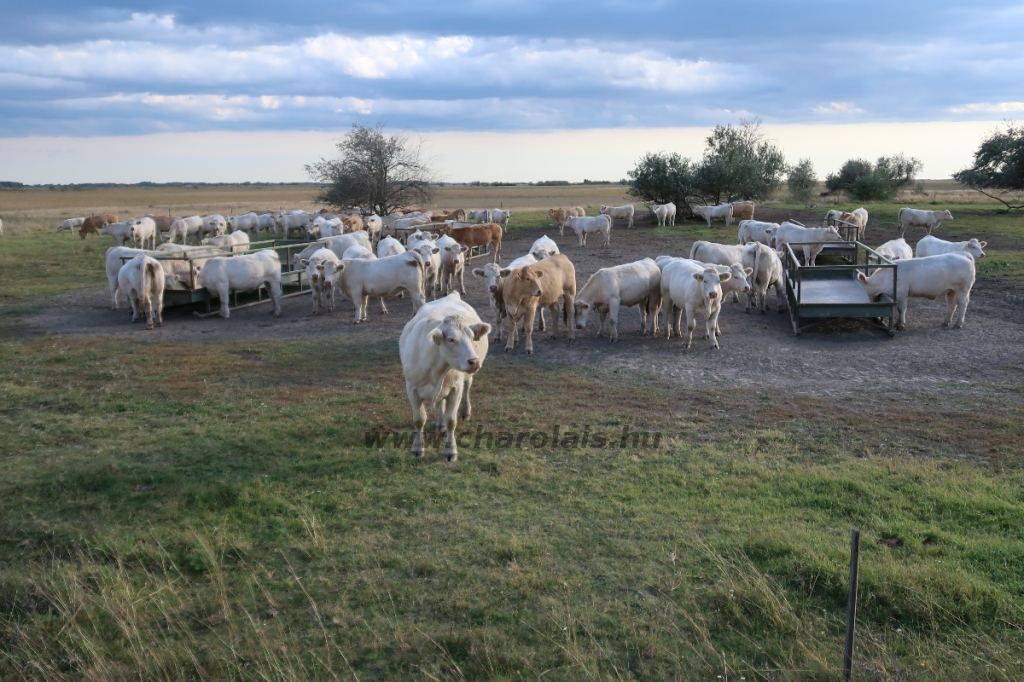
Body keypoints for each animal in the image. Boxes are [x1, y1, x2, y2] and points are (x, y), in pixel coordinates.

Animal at [397, 288, 489, 458]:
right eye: (451, 339)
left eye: (472, 337)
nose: (474, 361)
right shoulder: (411, 389)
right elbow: (419, 419)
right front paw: (417, 448)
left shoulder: (455, 389)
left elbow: (451, 420)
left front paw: (450, 451)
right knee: (441, 404)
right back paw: (440, 423)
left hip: (465, 379)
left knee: (467, 387)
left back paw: (465, 411)